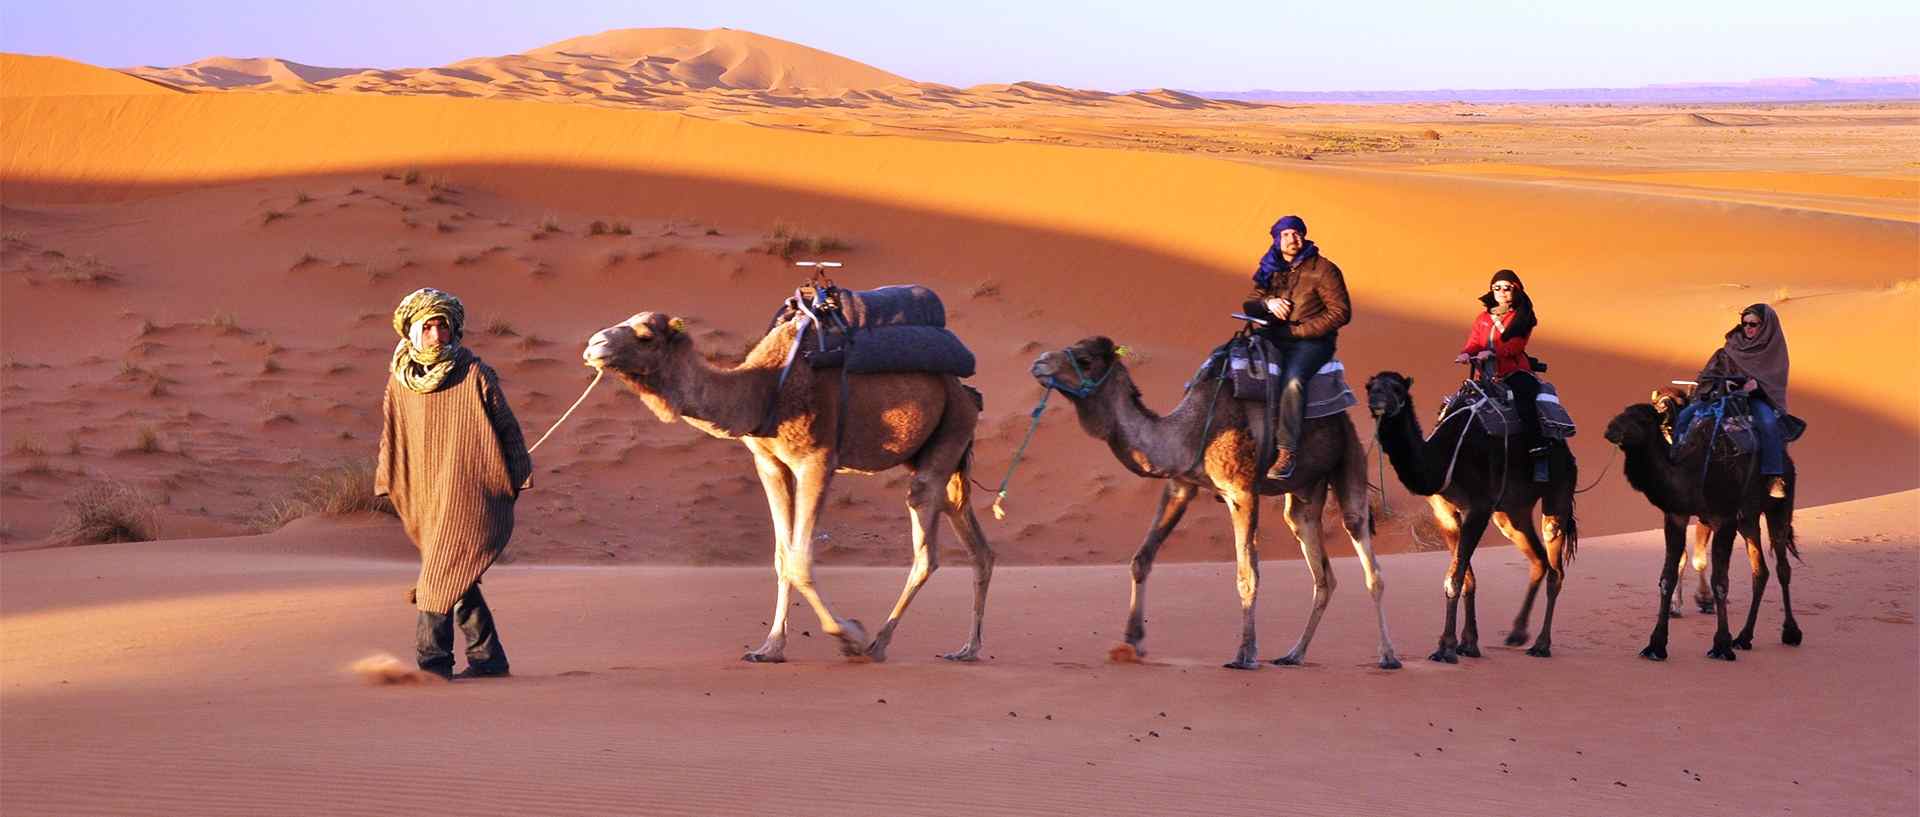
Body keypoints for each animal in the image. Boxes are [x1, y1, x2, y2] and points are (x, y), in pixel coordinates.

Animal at [583, 311, 993, 663]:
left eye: (645, 335)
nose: (593, 344)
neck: (765, 390)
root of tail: (968, 392)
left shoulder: (817, 462)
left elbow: (800, 559)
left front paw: (849, 636)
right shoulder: (770, 463)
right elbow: (782, 557)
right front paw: (769, 648)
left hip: (950, 429)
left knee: (926, 546)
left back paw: (877, 644)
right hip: (945, 452)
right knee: (978, 545)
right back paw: (967, 649)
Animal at [1029, 336, 1400, 670]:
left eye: (1085, 358)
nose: (1039, 363)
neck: (1191, 431)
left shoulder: (1242, 492)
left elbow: (1247, 574)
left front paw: (1245, 655)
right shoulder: (1180, 485)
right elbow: (1141, 559)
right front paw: (1131, 642)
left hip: (1349, 459)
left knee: (1369, 562)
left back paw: (1388, 656)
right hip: (1305, 496)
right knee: (1322, 573)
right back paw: (1294, 654)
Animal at [1364, 371, 1579, 662]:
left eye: (1397, 388)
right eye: (1370, 387)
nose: (1377, 400)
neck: (1442, 460)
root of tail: (1567, 451)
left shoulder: (1478, 508)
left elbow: (1454, 579)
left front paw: (1445, 647)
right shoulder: (1445, 514)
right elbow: (1466, 578)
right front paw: (1467, 643)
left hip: (1558, 493)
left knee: (1555, 569)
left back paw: (1541, 645)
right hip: (1511, 512)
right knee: (1539, 559)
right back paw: (1517, 633)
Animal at [1602, 403, 1800, 661]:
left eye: (1642, 419)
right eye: (1624, 411)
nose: (1611, 428)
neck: (1691, 476)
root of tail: (1788, 462)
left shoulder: (1724, 520)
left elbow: (1720, 582)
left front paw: (1721, 645)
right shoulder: (1676, 516)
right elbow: (1667, 577)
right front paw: (1656, 645)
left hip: (1779, 506)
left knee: (1782, 567)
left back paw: (1791, 633)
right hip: (1747, 520)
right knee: (1761, 571)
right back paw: (1744, 637)